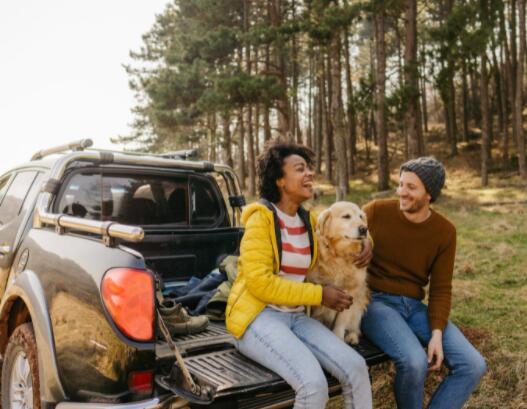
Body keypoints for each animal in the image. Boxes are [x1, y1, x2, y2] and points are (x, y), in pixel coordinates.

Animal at [308, 201, 370, 344]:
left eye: (360, 216)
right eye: (346, 216)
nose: (364, 229)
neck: (339, 256)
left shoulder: (351, 291)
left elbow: (342, 320)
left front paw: (338, 336)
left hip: (360, 299)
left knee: (355, 324)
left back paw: (352, 335)